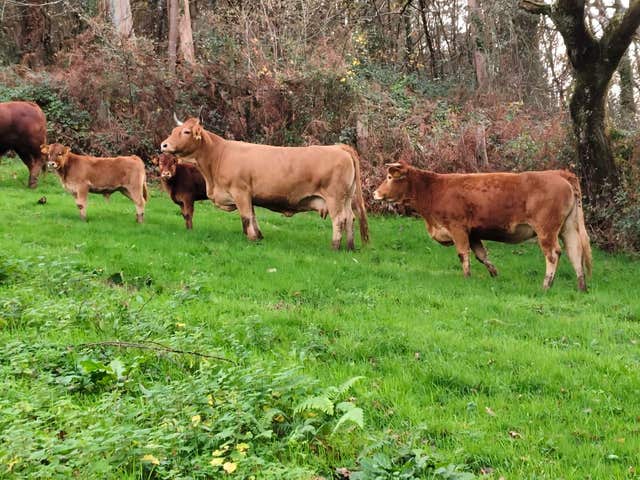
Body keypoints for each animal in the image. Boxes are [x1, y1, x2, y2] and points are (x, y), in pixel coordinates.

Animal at [160, 116, 369, 250]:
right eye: (173, 131)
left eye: (186, 131)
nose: (164, 145)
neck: (219, 155)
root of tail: (339, 148)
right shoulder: (248, 196)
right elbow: (252, 216)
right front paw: (259, 237)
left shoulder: (240, 192)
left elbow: (245, 217)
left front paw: (251, 238)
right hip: (346, 198)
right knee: (350, 218)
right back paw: (350, 247)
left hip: (334, 198)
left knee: (339, 220)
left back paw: (335, 246)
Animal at [373, 161, 592, 291]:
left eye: (389, 177)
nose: (375, 193)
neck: (434, 190)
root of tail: (559, 174)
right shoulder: (473, 233)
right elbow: (481, 255)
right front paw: (494, 273)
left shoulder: (458, 228)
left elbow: (463, 254)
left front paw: (466, 277)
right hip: (568, 228)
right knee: (575, 251)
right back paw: (581, 286)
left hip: (546, 230)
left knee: (553, 254)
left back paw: (546, 285)